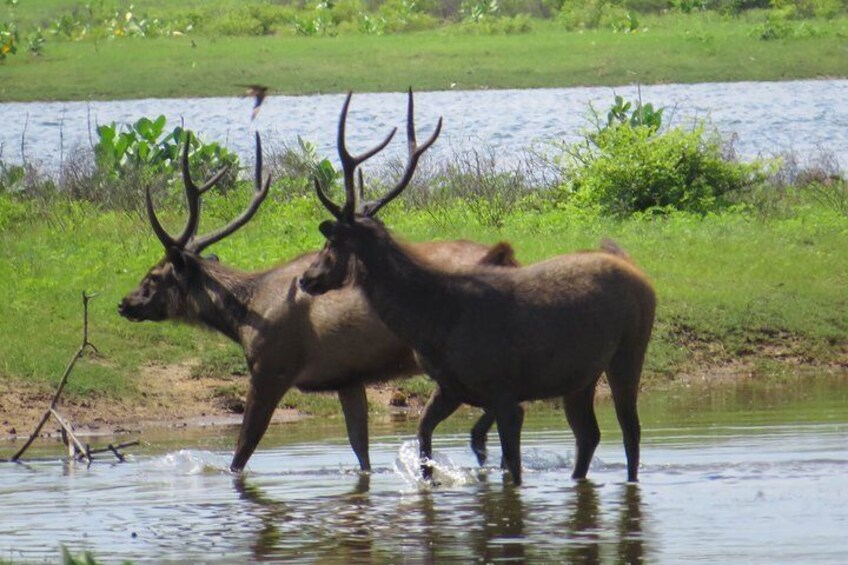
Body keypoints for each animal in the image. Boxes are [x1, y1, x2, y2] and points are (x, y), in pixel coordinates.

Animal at [118, 129, 516, 472]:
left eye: (154, 275)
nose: (125, 303)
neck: (246, 315)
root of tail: (505, 258)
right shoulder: (347, 378)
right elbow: (361, 452)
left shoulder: (271, 368)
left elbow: (242, 451)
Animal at [302, 89, 660, 484]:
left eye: (331, 243)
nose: (307, 278)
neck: (432, 322)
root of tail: (638, 270)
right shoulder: (452, 387)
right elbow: (425, 434)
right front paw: (430, 479)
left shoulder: (504, 390)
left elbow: (512, 469)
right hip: (581, 375)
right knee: (589, 434)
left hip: (630, 347)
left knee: (630, 430)